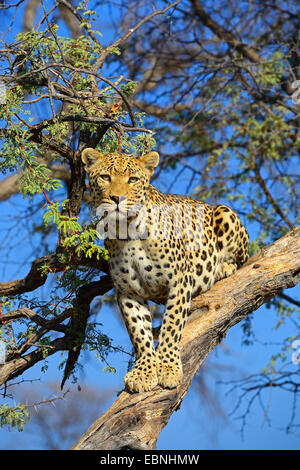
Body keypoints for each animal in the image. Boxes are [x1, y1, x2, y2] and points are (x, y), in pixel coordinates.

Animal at [82, 147, 248, 392]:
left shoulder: (180, 281)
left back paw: (223, 267)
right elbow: (139, 332)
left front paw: (168, 368)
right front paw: (144, 372)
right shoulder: (128, 291)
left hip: (224, 212)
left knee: (241, 259)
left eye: (133, 180)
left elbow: (172, 324)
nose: (117, 199)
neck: (127, 230)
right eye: (105, 177)